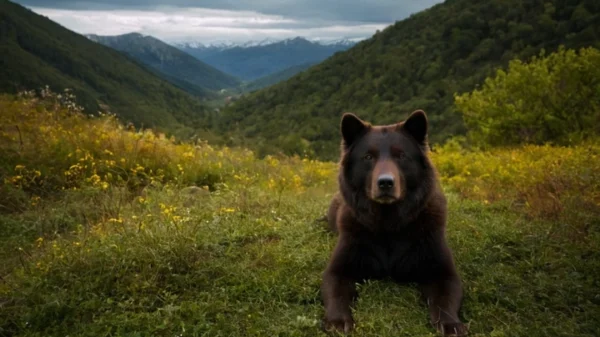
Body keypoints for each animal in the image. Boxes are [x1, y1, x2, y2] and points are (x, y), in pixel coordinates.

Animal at [322, 109, 466, 334]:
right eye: (368, 157)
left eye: (401, 156)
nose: (385, 183)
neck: (388, 223)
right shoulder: (338, 271)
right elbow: (336, 292)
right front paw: (337, 320)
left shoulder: (443, 272)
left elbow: (445, 298)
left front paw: (450, 323)